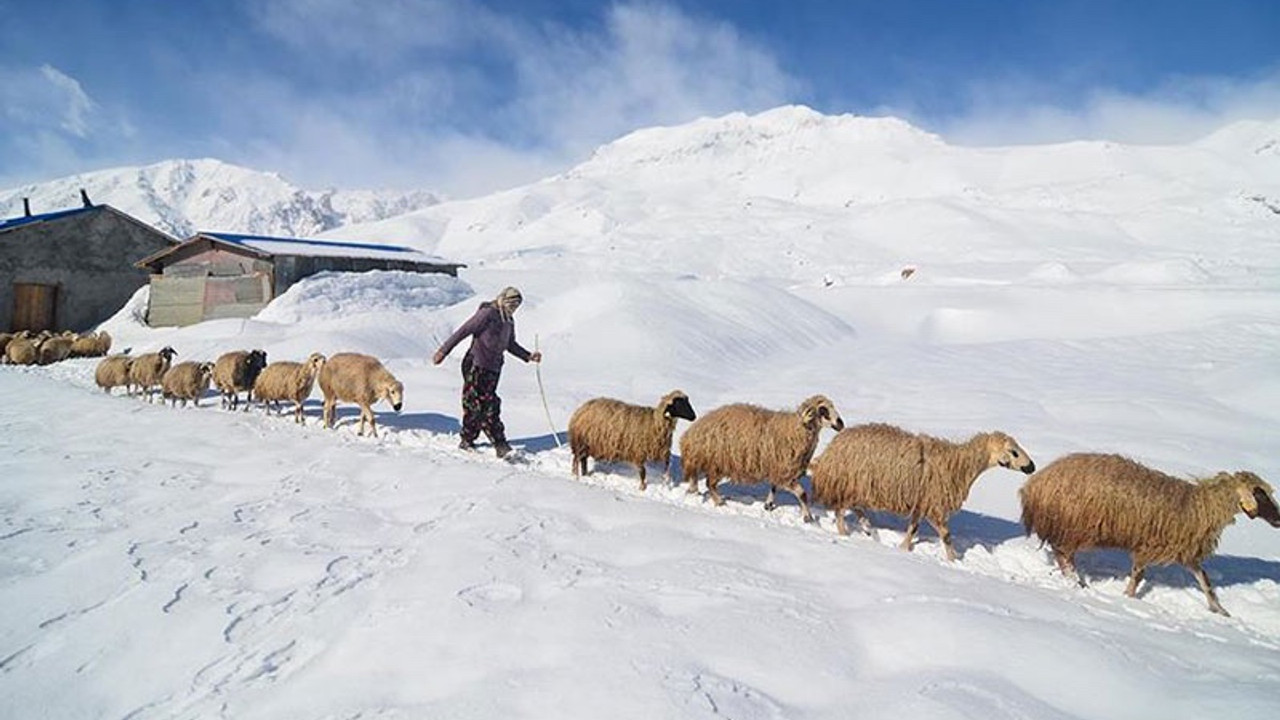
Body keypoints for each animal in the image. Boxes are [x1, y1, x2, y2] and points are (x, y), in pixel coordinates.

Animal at [568, 389, 696, 489]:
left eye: (687, 402)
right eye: (679, 404)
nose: (694, 417)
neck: (655, 423)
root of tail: (581, 410)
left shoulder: (662, 451)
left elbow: (667, 465)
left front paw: (666, 480)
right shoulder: (638, 452)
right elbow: (643, 472)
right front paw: (642, 488)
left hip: (587, 444)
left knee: (583, 460)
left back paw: (584, 474)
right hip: (581, 442)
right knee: (576, 460)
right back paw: (575, 475)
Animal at [675, 394, 844, 517]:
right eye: (823, 411)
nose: (841, 424)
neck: (796, 430)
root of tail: (692, 432)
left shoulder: (778, 468)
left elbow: (774, 487)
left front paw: (768, 505)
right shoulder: (785, 472)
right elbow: (802, 494)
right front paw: (807, 517)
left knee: (698, 478)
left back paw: (694, 491)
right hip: (718, 462)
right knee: (709, 483)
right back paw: (719, 502)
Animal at [814, 420, 1034, 561]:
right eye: (1014, 452)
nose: (1032, 467)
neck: (959, 464)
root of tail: (832, 448)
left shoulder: (922, 503)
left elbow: (913, 528)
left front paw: (904, 548)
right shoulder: (934, 504)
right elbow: (946, 534)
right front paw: (953, 559)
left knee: (853, 507)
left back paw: (868, 528)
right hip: (849, 482)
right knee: (840, 510)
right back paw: (845, 533)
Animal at [1018, 450, 1280, 614]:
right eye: (1259, 494)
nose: (1278, 519)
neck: (1198, 506)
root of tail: (1036, 483)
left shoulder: (1186, 552)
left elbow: (1204, 580)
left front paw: (1220, 610)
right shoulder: (1149, 546)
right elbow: (1137, 576)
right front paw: (1127, 599)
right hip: (1076, 526)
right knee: (1064, 554)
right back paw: (1077, 582)